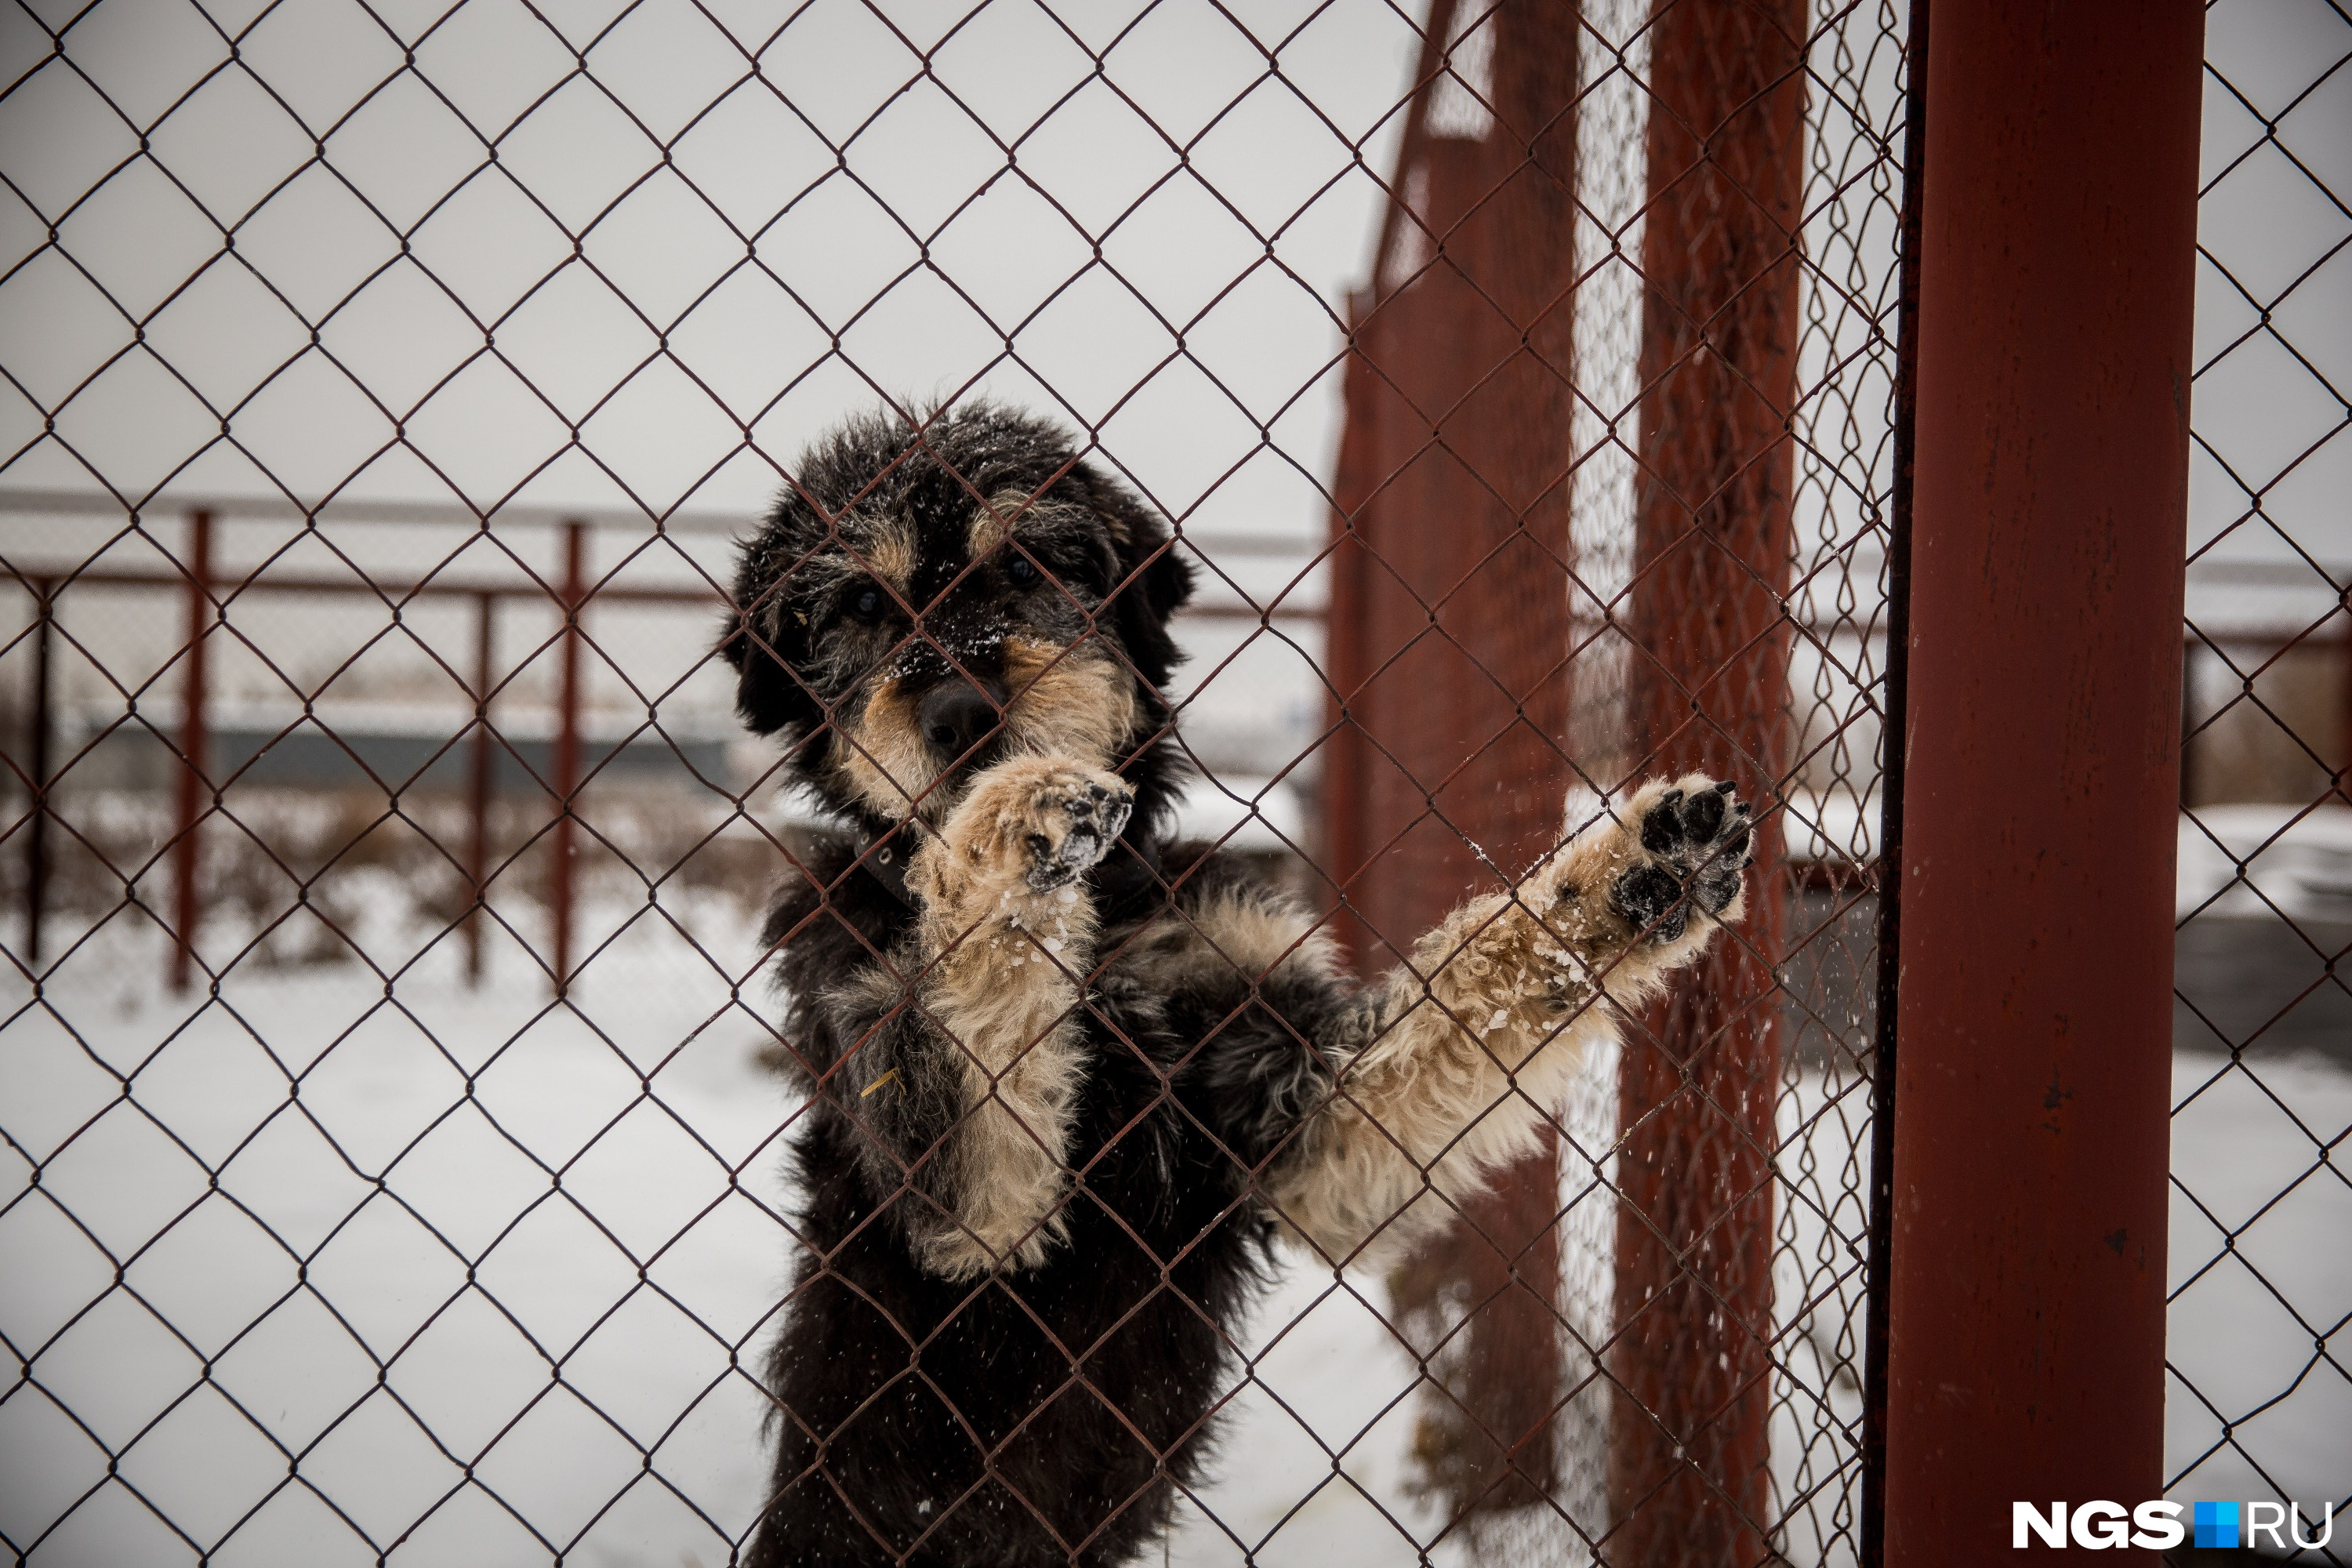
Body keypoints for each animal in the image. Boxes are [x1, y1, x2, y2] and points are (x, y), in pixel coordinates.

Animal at [715, 408, 1750, 1568]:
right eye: (857, 604)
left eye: (1027, 562)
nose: (965, 707)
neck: (1107, 924)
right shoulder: (950, 1175)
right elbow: (974, 1040)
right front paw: (1006, 825)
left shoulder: (1298, 1103)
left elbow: (1471, 994)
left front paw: (1627, 882)